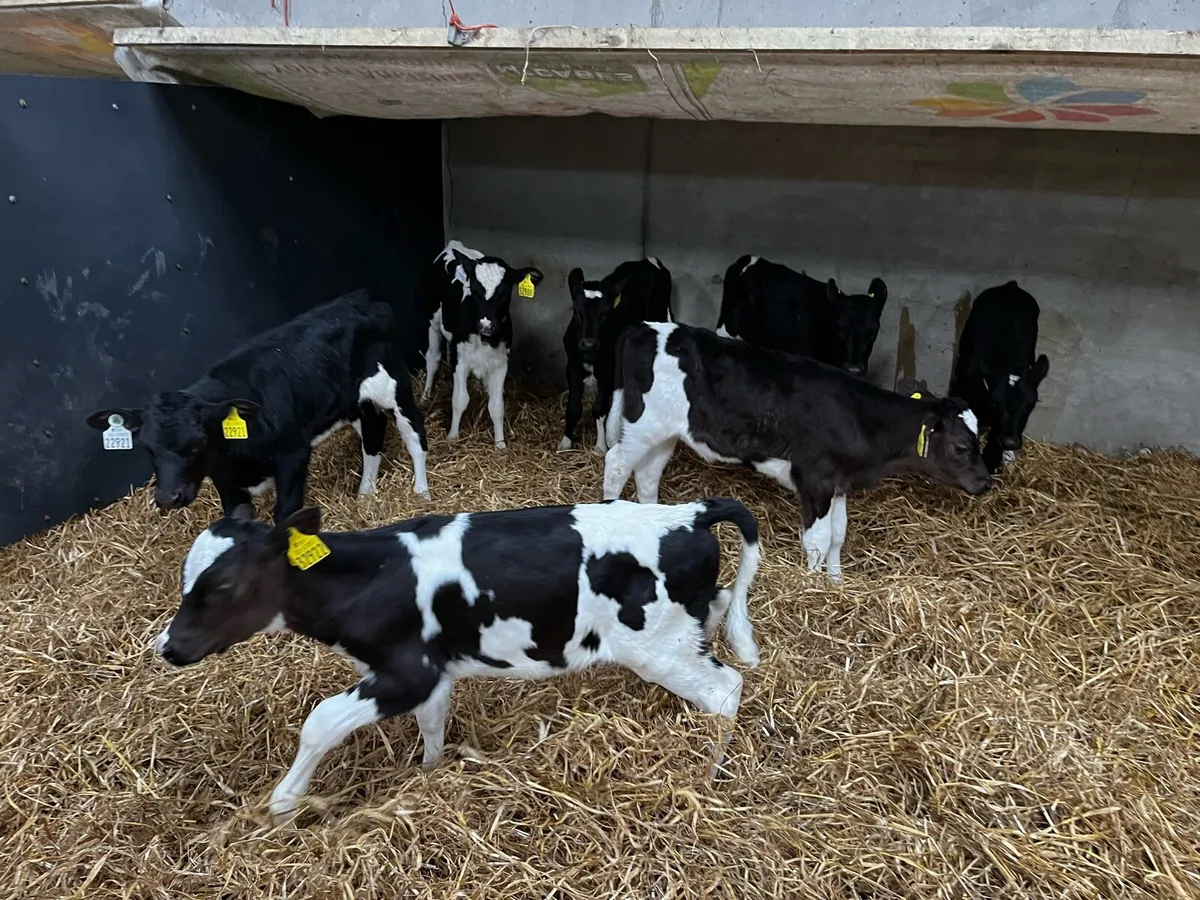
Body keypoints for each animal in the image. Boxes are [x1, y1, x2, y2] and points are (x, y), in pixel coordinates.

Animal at [86, 289, 429, 523]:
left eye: (196, 445)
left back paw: (421, 492)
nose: (168, 498)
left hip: (394, 384)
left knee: (414, 433)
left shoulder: (293, 455)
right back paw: (365, 494)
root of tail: (362, 297)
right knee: (372, 433)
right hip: (353, 402)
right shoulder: (225, 479)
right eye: (147, 449)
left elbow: (286, 515)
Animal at [153, 497, 762, 819]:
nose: (169, 647)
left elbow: (321, 721)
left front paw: (283, 802)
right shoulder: (433, 672)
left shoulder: (408, 673)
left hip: (660, 647)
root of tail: (691, 512)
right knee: (721, 610)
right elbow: (433, 725)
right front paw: (428, 776)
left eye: (223, 586)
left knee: (725, 691)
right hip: (685, 629)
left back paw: (708, 774)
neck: (370, 577)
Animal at [421, 240, 544, 451]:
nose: (486, 325)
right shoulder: (460, 360)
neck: (486, 338)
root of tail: (454, 244)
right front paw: (452, 436)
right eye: (475, 291)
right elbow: (460, 399)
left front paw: (500, 444)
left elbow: (497, 405)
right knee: (433, 358)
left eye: (505, 293)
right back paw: (426, 395)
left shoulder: (501, 362)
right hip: (433, 321)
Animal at [560, 258, 673, 454]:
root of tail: (647, 261)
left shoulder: (607, 370)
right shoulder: (572, 366)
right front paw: (566, 443)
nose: (589, 343)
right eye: (577, 311)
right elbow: (573, 407)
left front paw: (600, 446)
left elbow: (599, 408)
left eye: (605, 313)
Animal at [602, 322, 993, 582]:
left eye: (980, 441)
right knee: (616, 464)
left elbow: (838, 535)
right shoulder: (814, 479)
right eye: (961, 447)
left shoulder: (839, 483)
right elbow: (817, 539)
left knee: (648, 474)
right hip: (642, 424)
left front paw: (836, 582)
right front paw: (813, 585)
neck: (857, 416)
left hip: (664, 432)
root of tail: (644, 326)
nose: (987, 482)